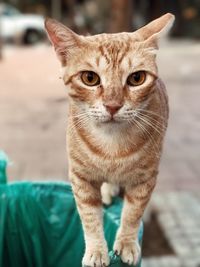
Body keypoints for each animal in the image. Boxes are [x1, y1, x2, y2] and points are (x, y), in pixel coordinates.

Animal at [45, 14, 173, 267]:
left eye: (137, 78)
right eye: (89, 78)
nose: (113, 106)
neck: (112, 146)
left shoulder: (145, 179)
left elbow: (132, 214)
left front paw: (127, 243)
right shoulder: (80, 178)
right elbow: (90, 218)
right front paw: (96, 250)